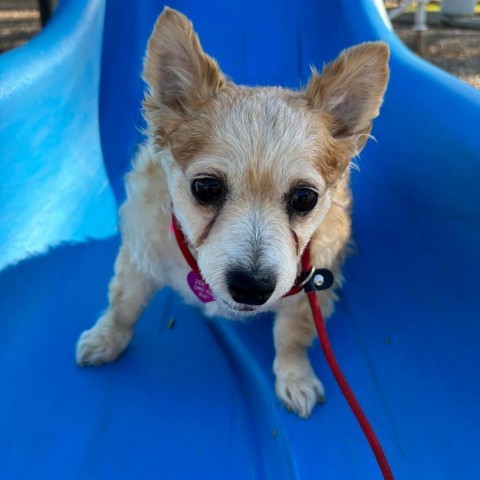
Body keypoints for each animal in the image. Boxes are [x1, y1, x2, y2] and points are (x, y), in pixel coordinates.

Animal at [76, 8, 390, 420]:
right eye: (206, 188)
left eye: (304, 198)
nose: (251, 287)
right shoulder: (140, 256)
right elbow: (124, 304)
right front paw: (106, 338)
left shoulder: (312, 288)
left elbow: (291, 337)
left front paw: (295, 377)